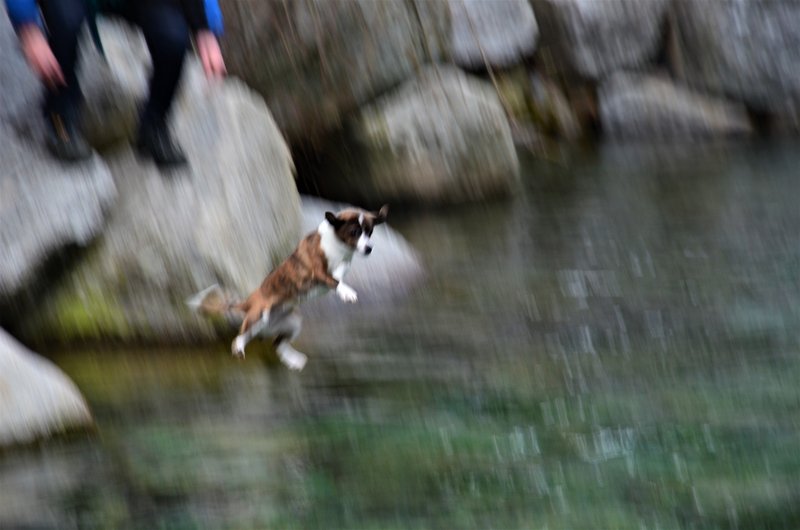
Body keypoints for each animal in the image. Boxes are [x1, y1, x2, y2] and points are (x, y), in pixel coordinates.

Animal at [188, 204, 388, 370]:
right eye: (354, 232)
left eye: (370, 232)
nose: (369, 249)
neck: (338, 246)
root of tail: (248, 302)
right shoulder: (317, 271)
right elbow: (333, 280)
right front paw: (346, 292)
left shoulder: (344, 262)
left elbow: (339, 273)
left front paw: (342, 284)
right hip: (258, 315)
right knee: (240, 336)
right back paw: (239, 348)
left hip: (292, 323)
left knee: (277, 344)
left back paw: (293, 360)